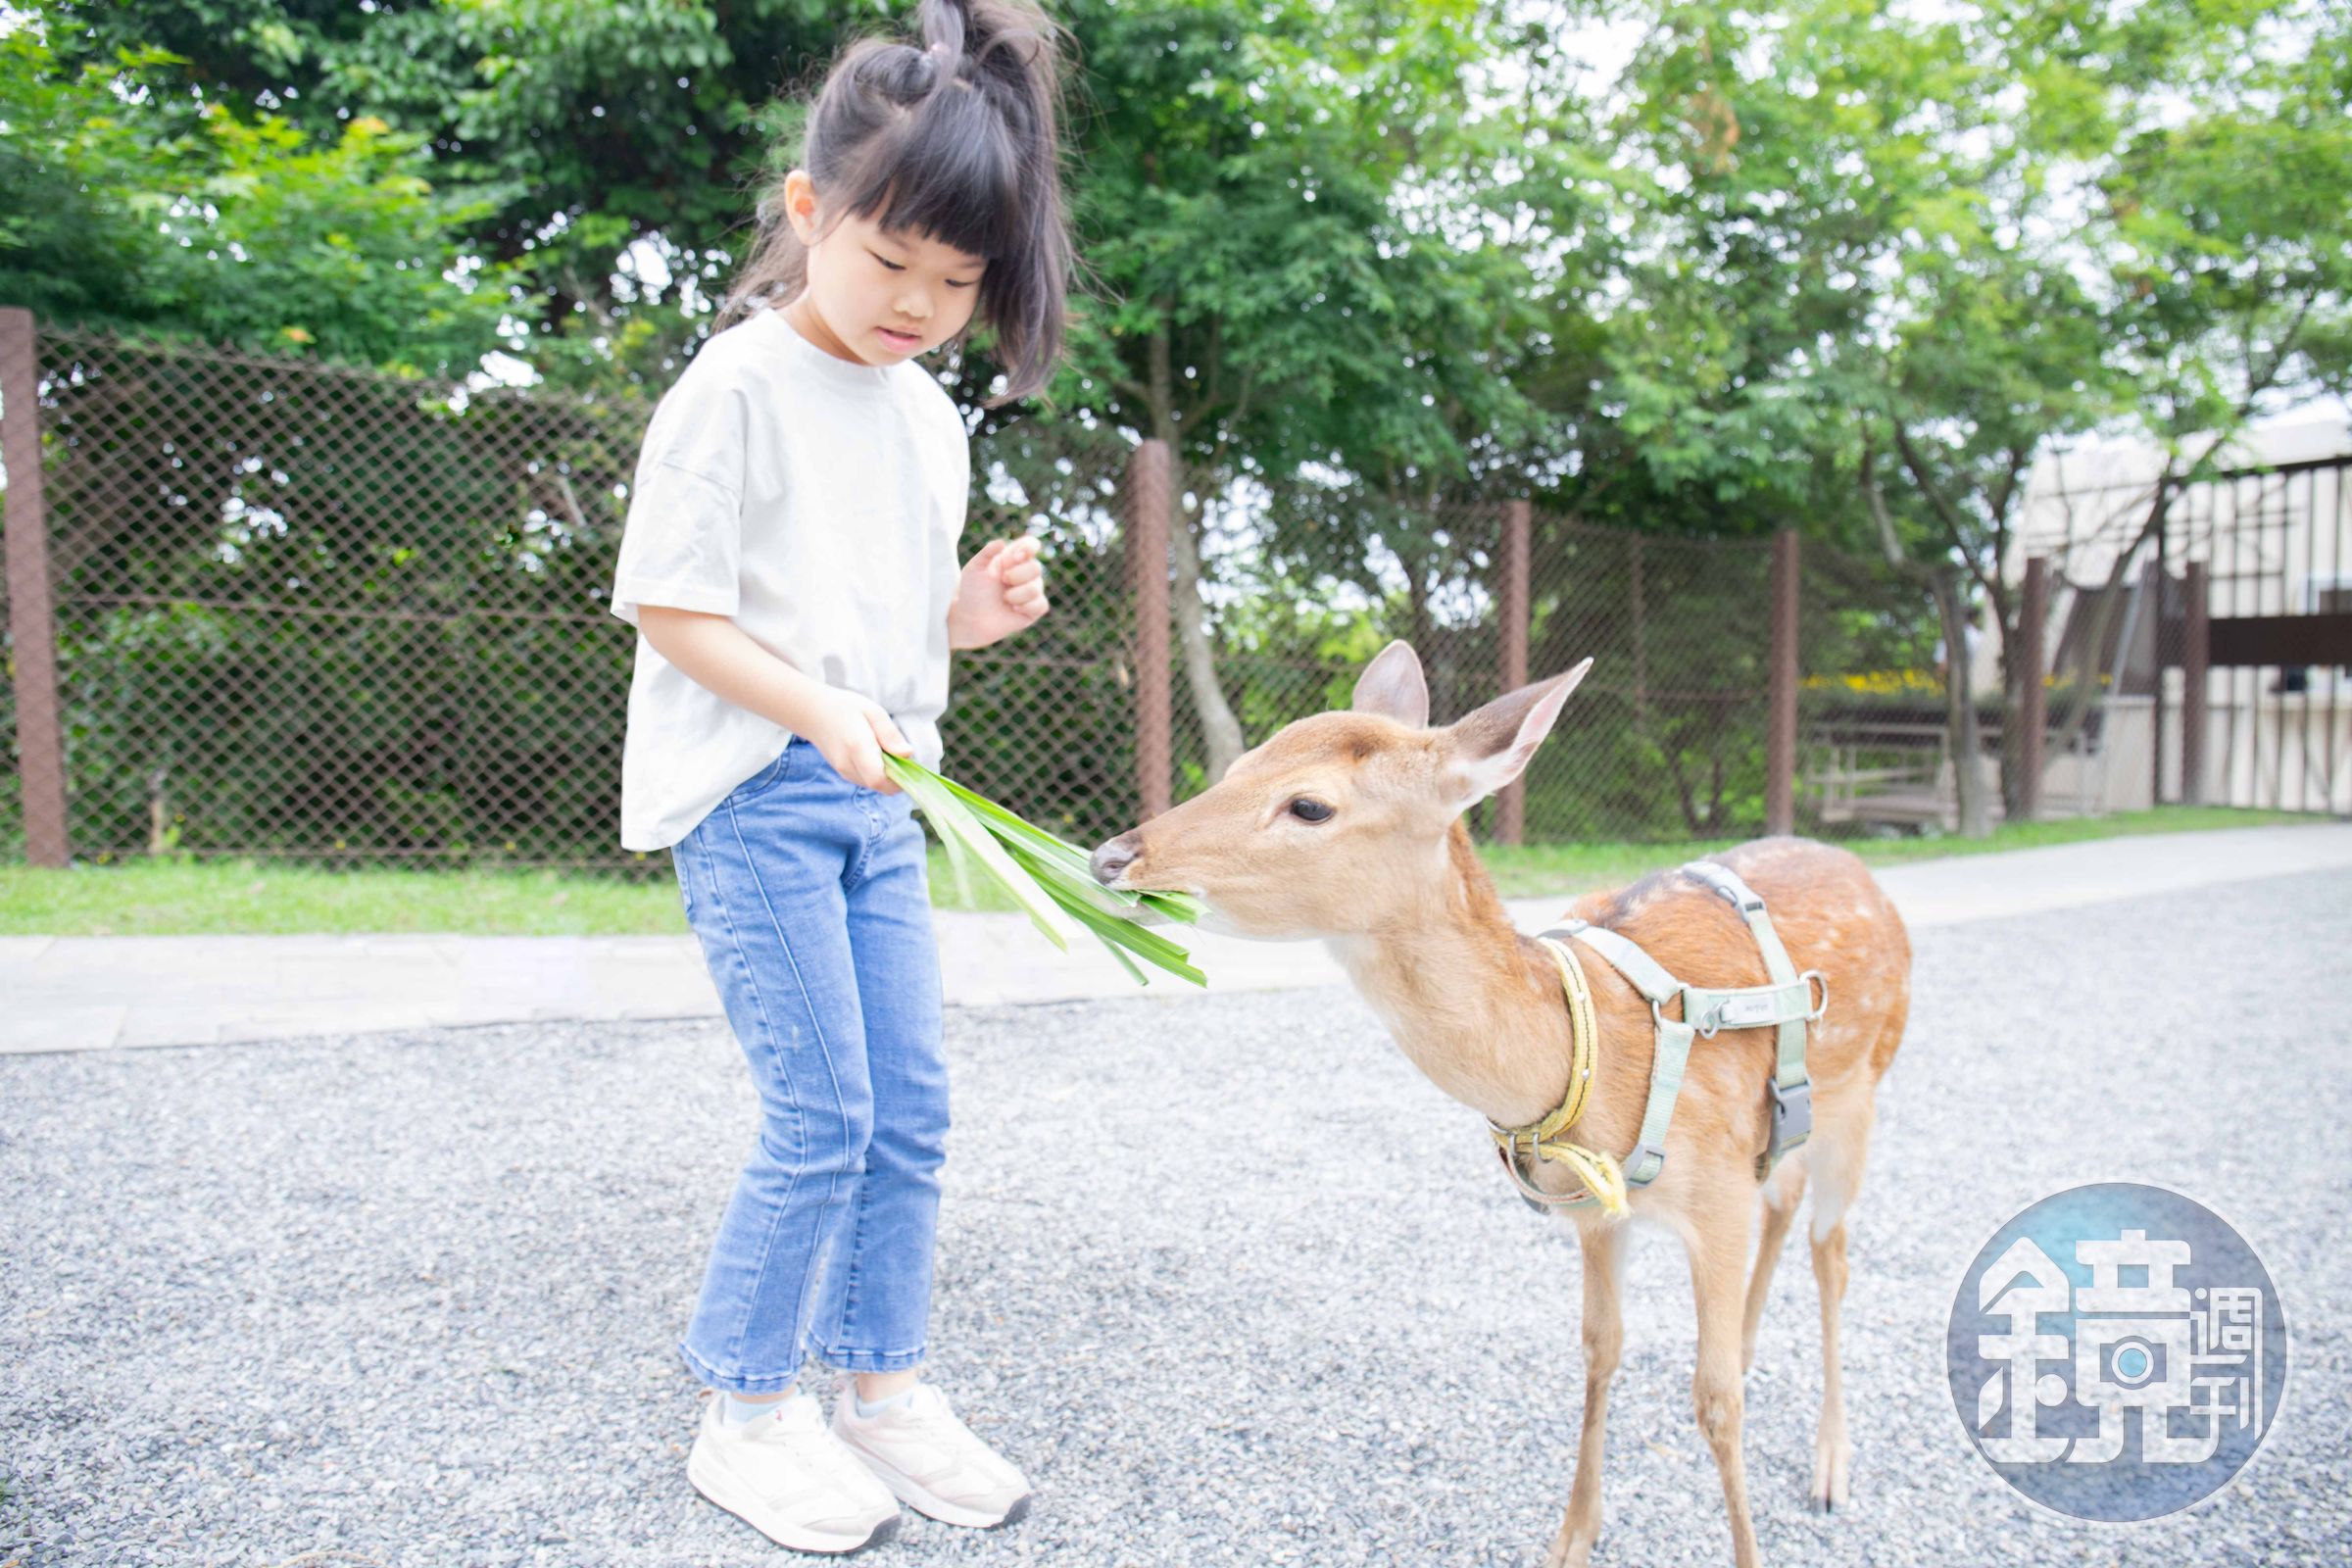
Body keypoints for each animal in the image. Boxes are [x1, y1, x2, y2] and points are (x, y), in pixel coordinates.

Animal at [1088, 642, 1911, 1568]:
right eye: (1238, 765)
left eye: (1309, 804)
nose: (1111, 856)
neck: (1589, 1052)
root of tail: (1863, 870)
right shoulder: (1599, 1211)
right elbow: (1600, 1351)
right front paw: (1572, 1536)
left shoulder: (1716, 1194)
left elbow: (1715, 1403)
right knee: (1787, 1204)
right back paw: (1755, 1349)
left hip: (1865, 1091)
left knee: (1832, 1251)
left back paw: (1831, 1465)